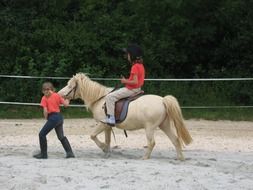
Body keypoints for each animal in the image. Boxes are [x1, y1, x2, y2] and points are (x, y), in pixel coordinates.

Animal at [58, 72, 193, 160]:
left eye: (70, 85)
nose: (59, 94)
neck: (100, 99)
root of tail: (163, 100)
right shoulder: (107, 127)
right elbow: (107, 140)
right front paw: (106, 152)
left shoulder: (102, 124)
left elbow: (93, 136)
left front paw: (103, 148)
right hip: (164, 125)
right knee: (175, 140)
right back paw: (180, 158)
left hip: (150, 128)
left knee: (152, 143)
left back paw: (144, 157)